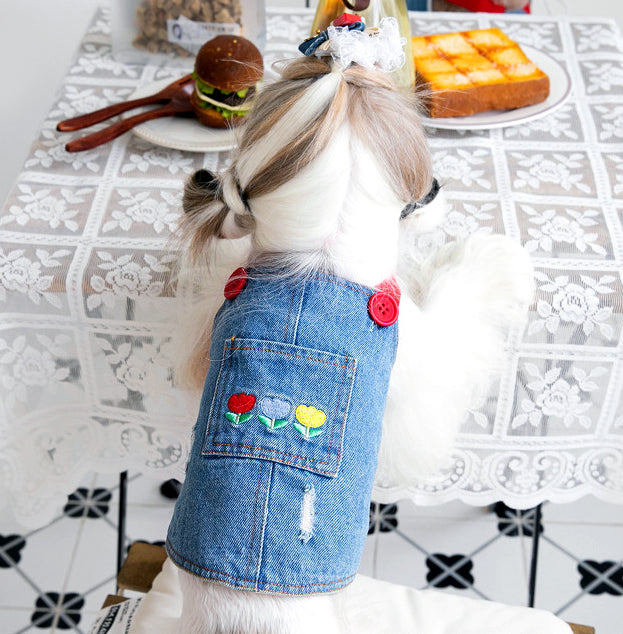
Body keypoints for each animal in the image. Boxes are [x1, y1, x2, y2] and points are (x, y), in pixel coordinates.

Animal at [166, 23, 536, 632]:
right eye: (428, 186)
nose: (439, 190)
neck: (319, 259)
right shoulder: (420, 356)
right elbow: (458, 301)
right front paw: (494, 259)